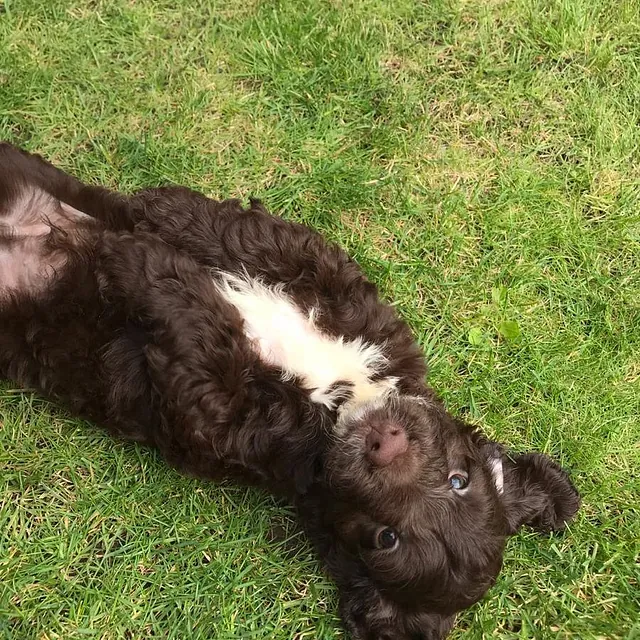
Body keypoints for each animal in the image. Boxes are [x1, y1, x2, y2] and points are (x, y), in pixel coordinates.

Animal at [0, 145, 580, 640]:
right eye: (460, 479)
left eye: (386, 537)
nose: (385, 443)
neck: (340, 404)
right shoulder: (350, 299)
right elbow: (261, 240)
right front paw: (163, 217)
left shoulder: (218, 407)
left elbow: (197, 320)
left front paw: (135, 255)